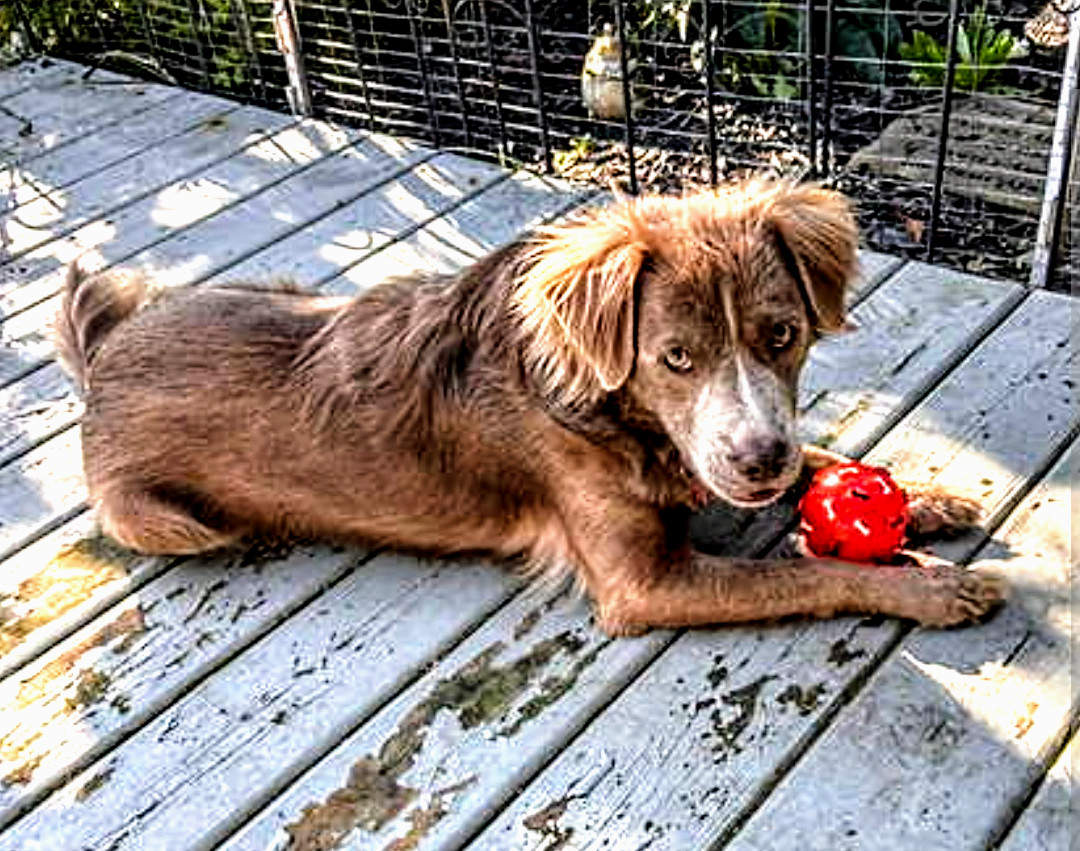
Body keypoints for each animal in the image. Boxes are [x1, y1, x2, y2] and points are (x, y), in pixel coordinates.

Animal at [56, 181, 1002, 630]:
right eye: (675, 358)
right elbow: (805, 574)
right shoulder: (646, 584)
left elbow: (822, 458)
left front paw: (927, 499)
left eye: (782, 334)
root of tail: (103, 354)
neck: (615, 414)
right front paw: (930, 588)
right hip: (162, 520)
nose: (758, 461)